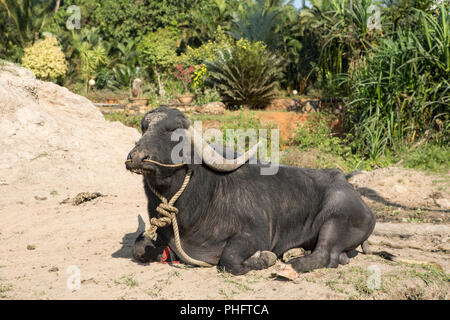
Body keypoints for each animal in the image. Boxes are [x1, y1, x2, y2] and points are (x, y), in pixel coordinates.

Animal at [125, 107, 374, 276]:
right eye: (144, 127)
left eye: (172, 131)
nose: (137, 157)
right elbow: (138, 248)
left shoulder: (255, 235)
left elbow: (229, 260)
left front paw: (265, 258)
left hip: (336, 216)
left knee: (325, 254)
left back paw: (291, 264)